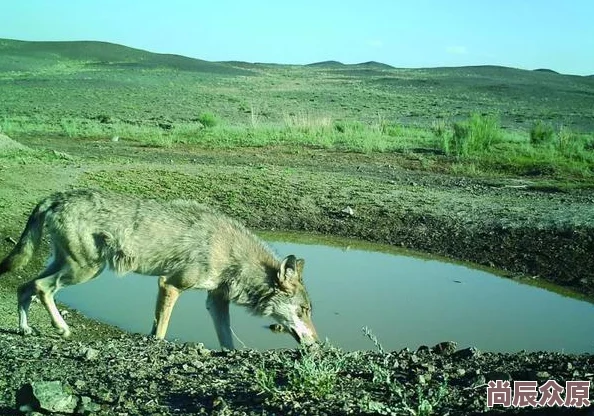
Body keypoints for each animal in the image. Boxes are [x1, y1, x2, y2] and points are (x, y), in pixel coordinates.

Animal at [0, 190, 320, 350]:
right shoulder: (170, 285)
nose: (317, 342)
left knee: (24, 287)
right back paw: (62, 328)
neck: (231, 253)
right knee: (41, 288)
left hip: (71, 267)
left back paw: (25, 329)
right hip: (85, 271)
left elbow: (227, 340)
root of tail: (54, 197)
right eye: (304, 310)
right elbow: (160, 330)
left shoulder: (216, 301)